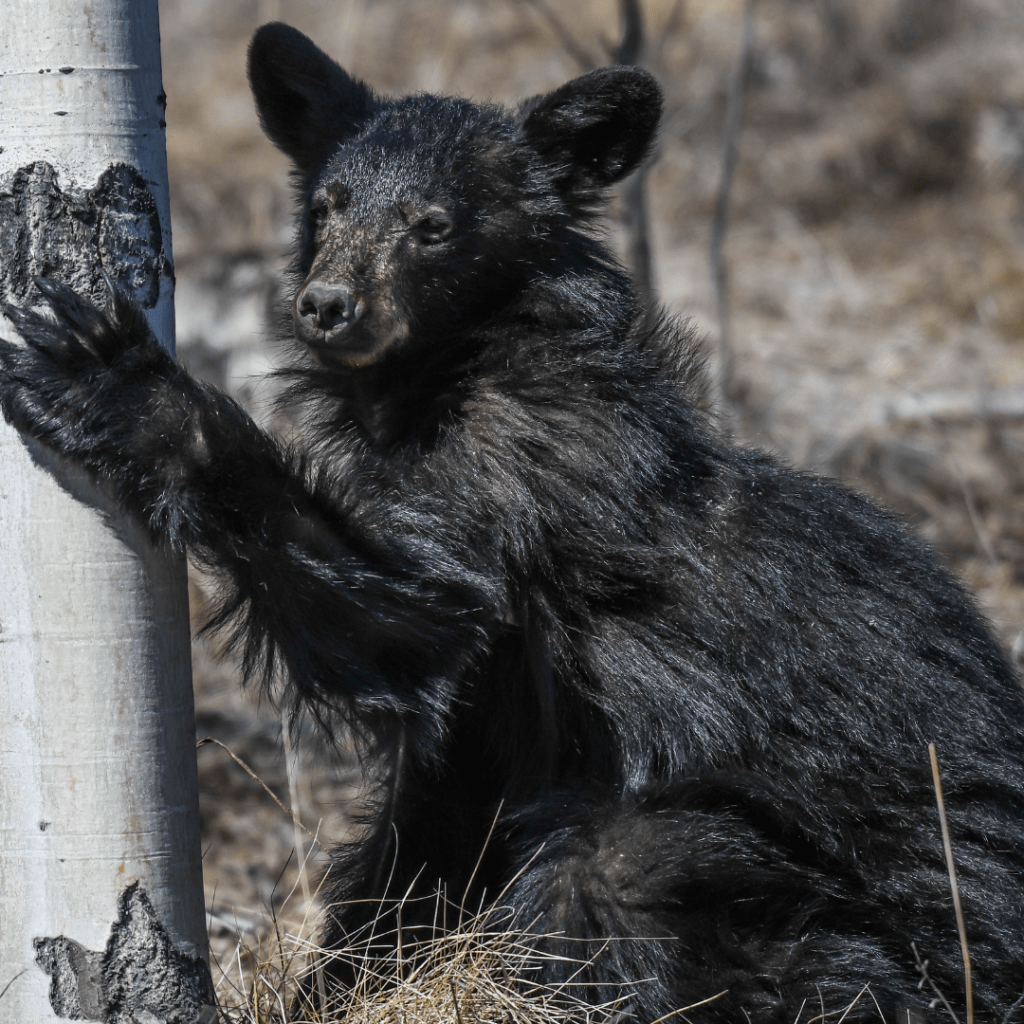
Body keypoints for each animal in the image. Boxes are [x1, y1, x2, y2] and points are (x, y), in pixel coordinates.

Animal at [1, 20, 1024, 1023]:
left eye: (434, 226)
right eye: (328, 205)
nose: (328, 306)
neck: (442, 372)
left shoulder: (518, 478)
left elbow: (423, 614)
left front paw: (112, 382)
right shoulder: (485, 718)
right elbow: (423, 822)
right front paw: (331, 986)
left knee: (619, 871)